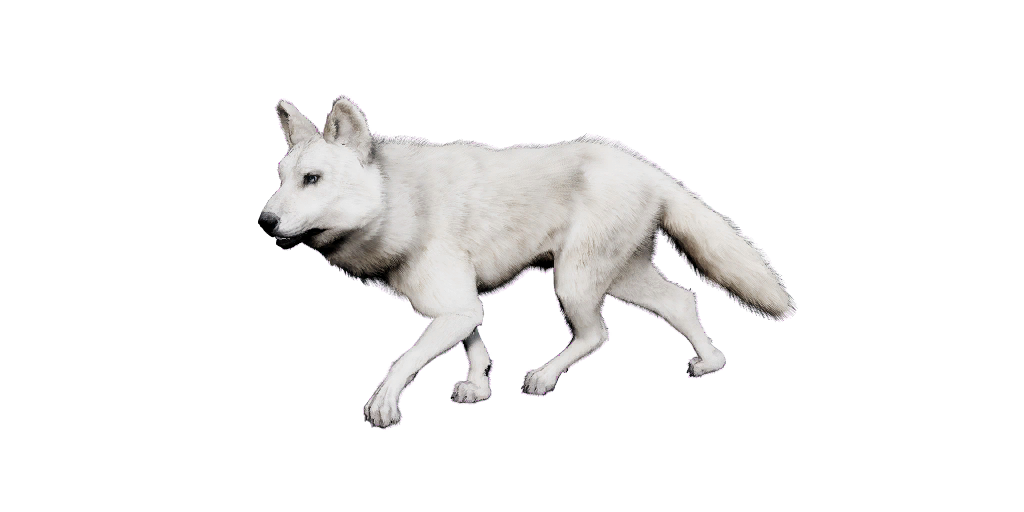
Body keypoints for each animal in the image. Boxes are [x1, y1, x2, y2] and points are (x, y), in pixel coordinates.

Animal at [261, 97, 794, 429]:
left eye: (312, 179)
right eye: (282, 179)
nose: (264, 222)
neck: (400, 201)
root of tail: (652, 172)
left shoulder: (456, 308)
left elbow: (404, 361)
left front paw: (383, 406)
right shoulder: (463, 308)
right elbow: (476, 347)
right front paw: (478, 387)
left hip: (572, 284)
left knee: (597, 334)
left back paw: (543, 378)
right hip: (619, 279)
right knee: (681, 301)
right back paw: (711, 363)